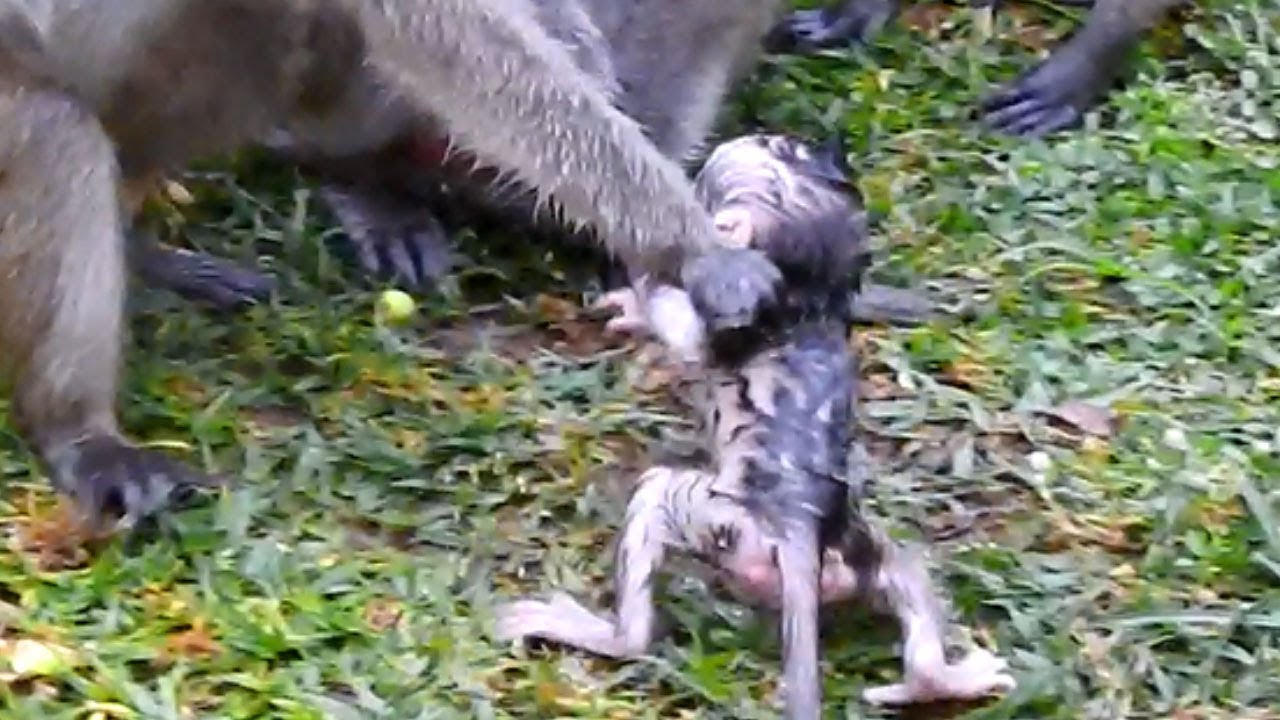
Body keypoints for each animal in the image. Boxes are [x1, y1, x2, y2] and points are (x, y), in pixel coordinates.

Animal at [494, 134, 1016, 719]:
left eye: (775, 147)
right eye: (794, 149)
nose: (779, 137)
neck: (813, 300)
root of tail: (798, 527)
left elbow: (687, 334)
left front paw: (648, 283)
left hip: (723, 523)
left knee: (654, 497)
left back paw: (606, 634)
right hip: (860, 552)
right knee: (907, 570)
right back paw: (936, 681)